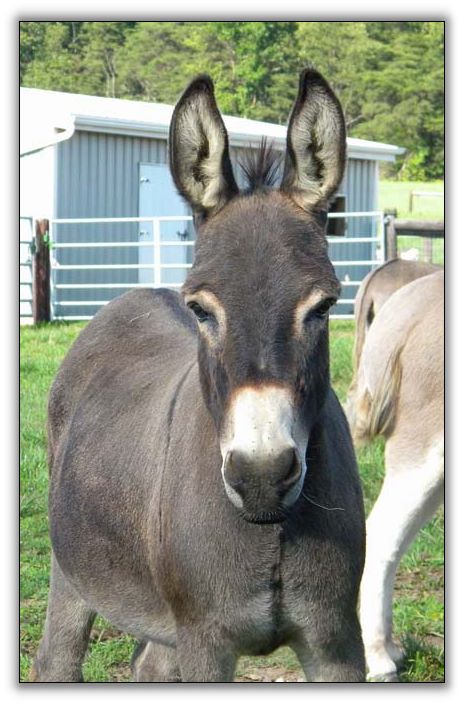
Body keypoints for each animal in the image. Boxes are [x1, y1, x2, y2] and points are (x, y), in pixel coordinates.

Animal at [31, 69, 366, 683]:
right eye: (201, 310)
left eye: (324, 307)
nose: (261, 476)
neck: (268, 528)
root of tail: (135, 293)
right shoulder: (206, 642)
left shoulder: (335, 638)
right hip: (73, 567)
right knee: (57, 657)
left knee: (147, 666)